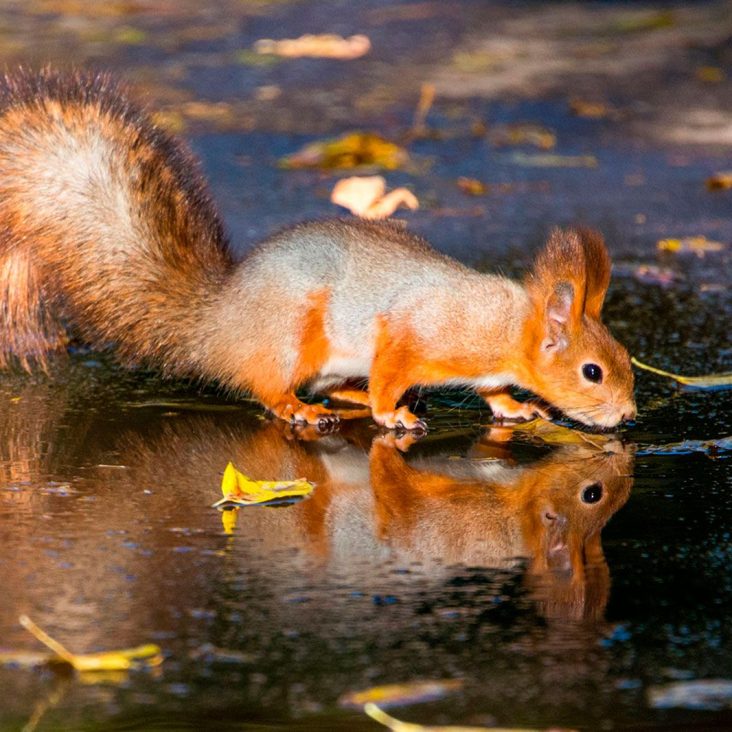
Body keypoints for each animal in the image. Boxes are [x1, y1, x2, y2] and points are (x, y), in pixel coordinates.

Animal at [0, 68, 636, 428]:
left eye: (626, 358)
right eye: (592, 372)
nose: (629, 416)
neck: (506, 324)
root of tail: (215, 325)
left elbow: (496, 390)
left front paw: (515, 407)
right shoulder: (414, 331)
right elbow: (393, 368)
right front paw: (390, 413)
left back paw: (345, 397)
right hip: (288, 336)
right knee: (269, 389)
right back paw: (305, 408)